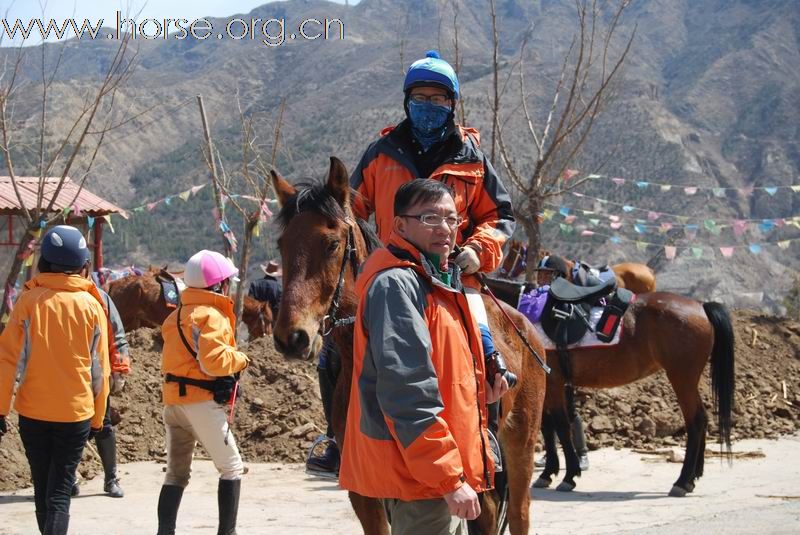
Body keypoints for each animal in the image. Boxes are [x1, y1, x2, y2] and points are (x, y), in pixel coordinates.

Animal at [272, 159, 548, 535]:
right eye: (282, 245)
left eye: (331, 244)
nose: (292, 337)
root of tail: (529, 332)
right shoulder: (366, 487)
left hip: (520, 440)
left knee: (518, 512)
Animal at [482, 280, 736, 498]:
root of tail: (701, 306)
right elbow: (547, 427)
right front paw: (548, 473)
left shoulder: (553, 383)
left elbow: (561, 427)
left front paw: (569, 475)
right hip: (689, 379)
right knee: (702, 419)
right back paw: (693, 477)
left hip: (681, 377)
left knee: (696, 421)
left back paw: (682, 481)